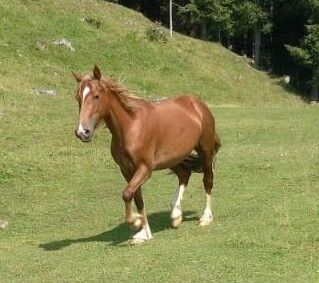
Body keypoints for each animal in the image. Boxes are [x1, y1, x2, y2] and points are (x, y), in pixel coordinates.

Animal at [74, 66, 221, 244]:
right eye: (78, 97)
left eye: (96, 96)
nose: (83, 132)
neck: (131, 127)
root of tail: (197, 104)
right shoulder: (127, 170)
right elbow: (137, 198)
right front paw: (144, 232)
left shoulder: (145, 168)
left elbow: (127, 194)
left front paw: (135, 222)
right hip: (173, 158)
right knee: (184, 175)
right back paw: (176, 214)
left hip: (205, 151)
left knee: (207, 180)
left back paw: (205, 217)